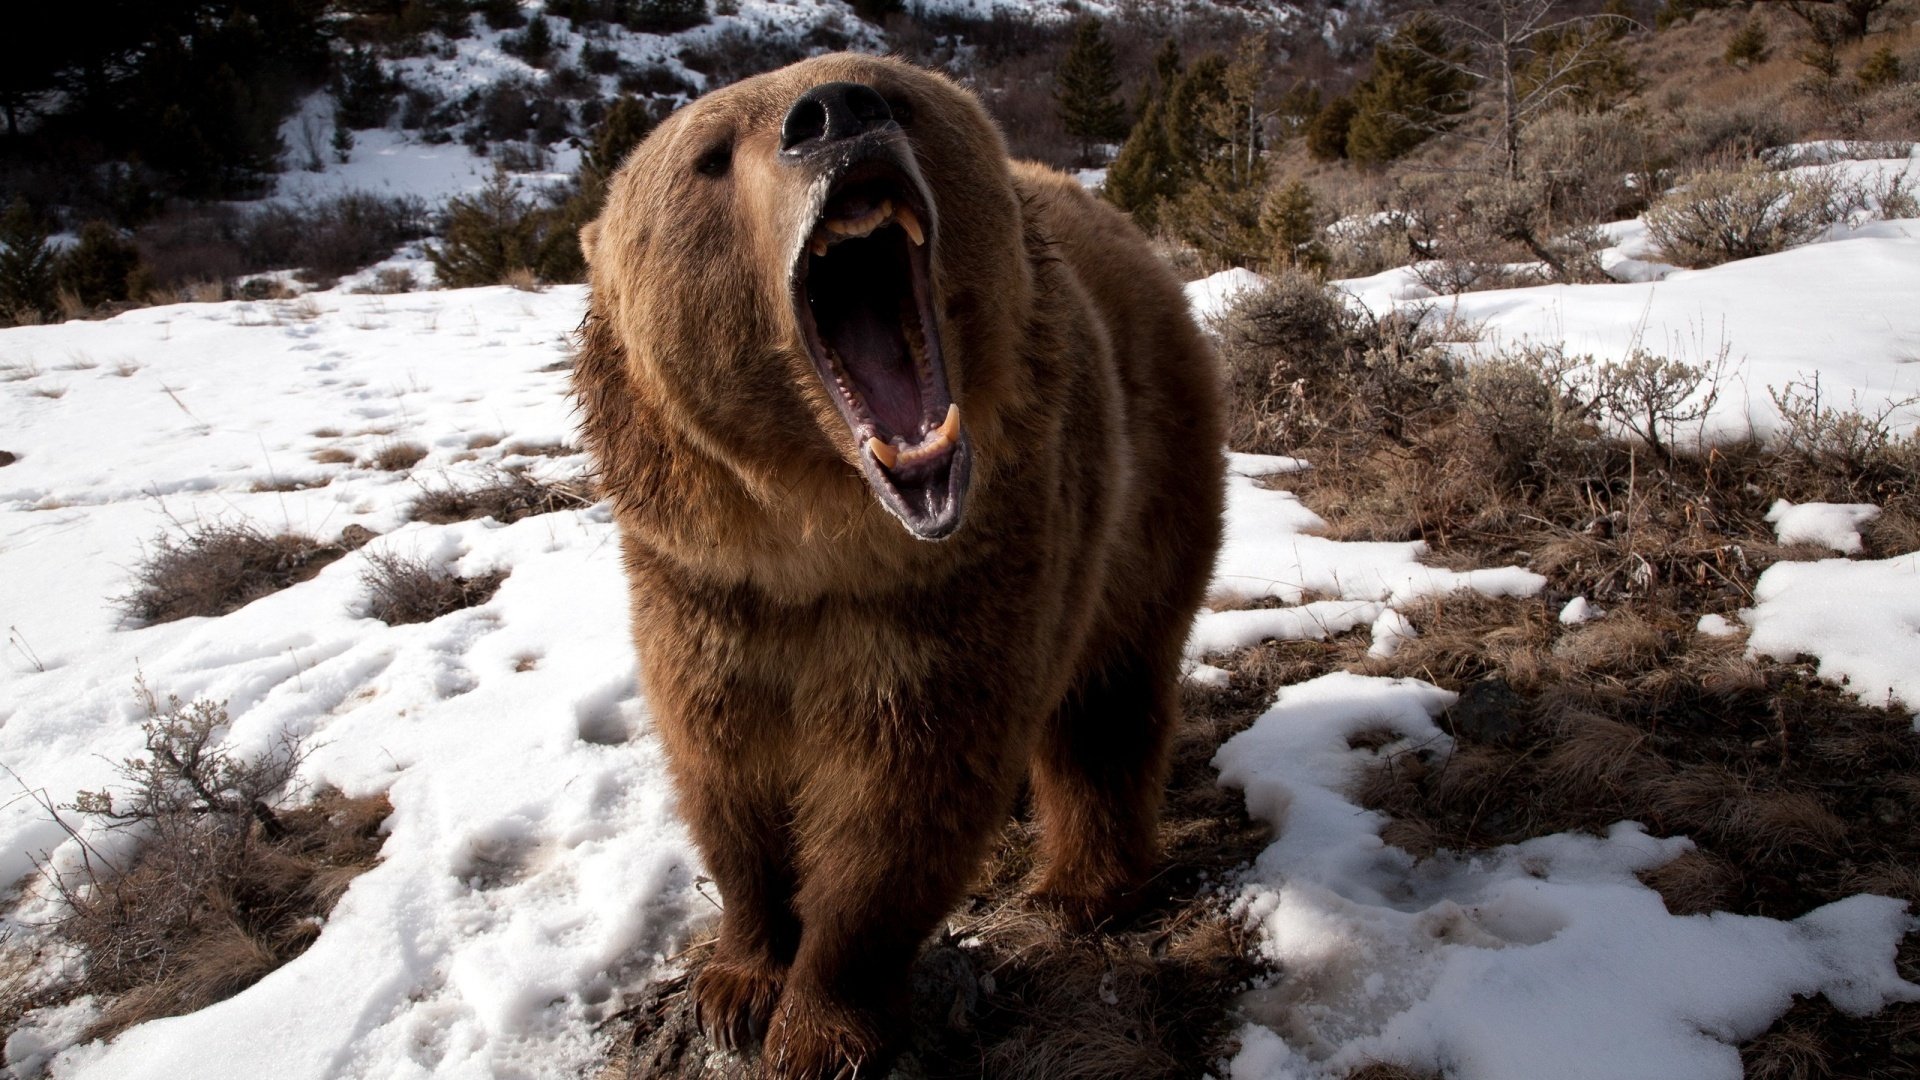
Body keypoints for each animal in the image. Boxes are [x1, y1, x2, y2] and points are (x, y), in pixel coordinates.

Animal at [573, 54, 1224, 1079]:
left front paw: (818, 1026)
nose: (835, 114)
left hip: (1147, 479)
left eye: (894, 92)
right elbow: (725, 774)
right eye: (709, 155)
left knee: (1108, 695)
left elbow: (901, 803)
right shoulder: (703, 588)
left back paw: (1081, 887)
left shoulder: (953, 588)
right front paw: (736, 983)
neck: (819, 539)